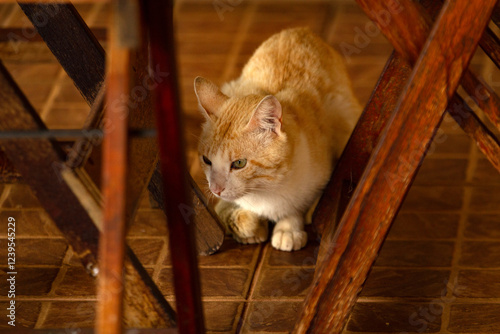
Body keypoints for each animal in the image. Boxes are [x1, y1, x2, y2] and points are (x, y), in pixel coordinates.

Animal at [193, 27, 362, 250]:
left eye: (239, 163)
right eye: (207, 160)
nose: (216, 189)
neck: (267, 189)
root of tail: (300, 30)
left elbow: (301, 206)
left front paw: (288, 228)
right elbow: (234, 215)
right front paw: (248, 226)